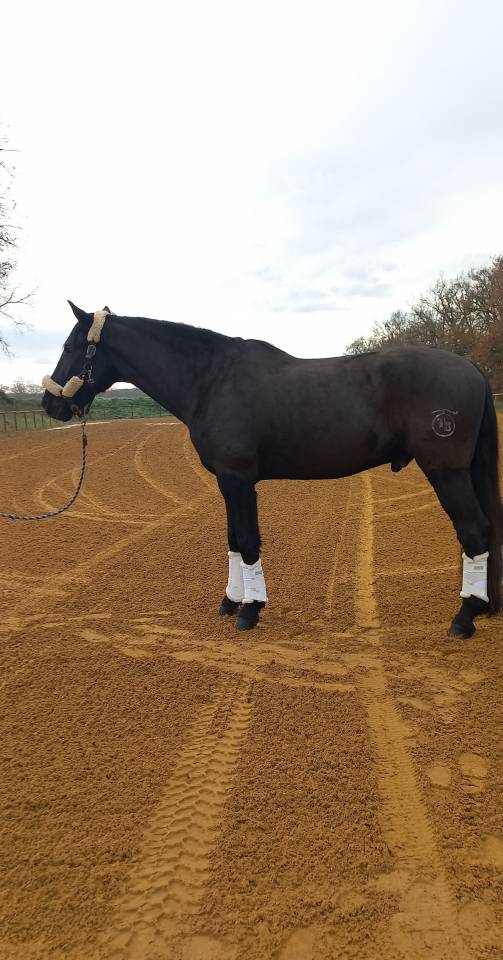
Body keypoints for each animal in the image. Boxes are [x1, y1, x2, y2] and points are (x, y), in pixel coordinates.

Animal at [42, 301, 502, 638]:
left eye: (69, 348)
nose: (51, 404)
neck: (211, 380)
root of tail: (471, 368)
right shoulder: (227, 482)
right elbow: (232, 540)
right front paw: (231, 602)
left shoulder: (238, 479)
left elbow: (248, 540)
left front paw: (250, 611)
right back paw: (480, 605)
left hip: (446, 471)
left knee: (474, 530)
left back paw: (464, 617)